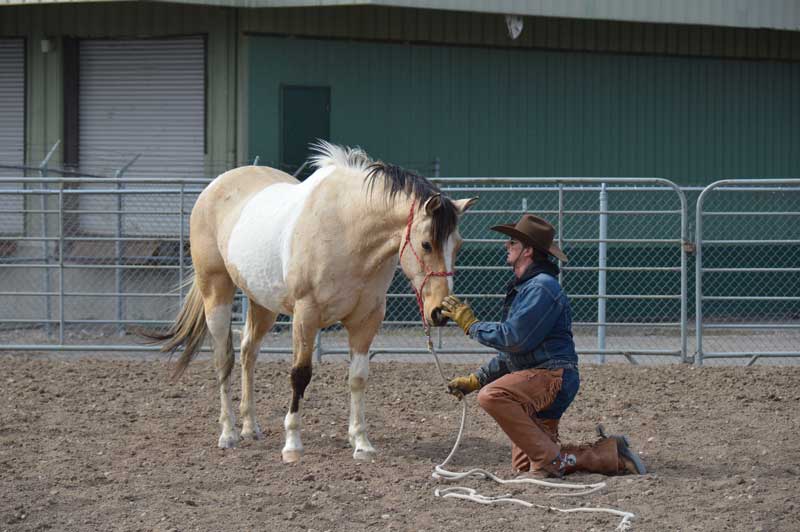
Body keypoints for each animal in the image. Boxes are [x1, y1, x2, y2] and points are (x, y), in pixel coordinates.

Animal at [148, 143, 478, 464]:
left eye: (458, 245)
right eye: (426, 244)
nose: (439, 311)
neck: (346, 228)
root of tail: (214, 187)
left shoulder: (367, 319)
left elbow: (358, 378)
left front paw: (361, 443)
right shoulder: (306, 315)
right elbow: (300, 375)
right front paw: (292, 445)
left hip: (263, 304)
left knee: (248, 354)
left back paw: (250, 428)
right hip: (216, 293)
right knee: (223, 359)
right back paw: (228, 433)